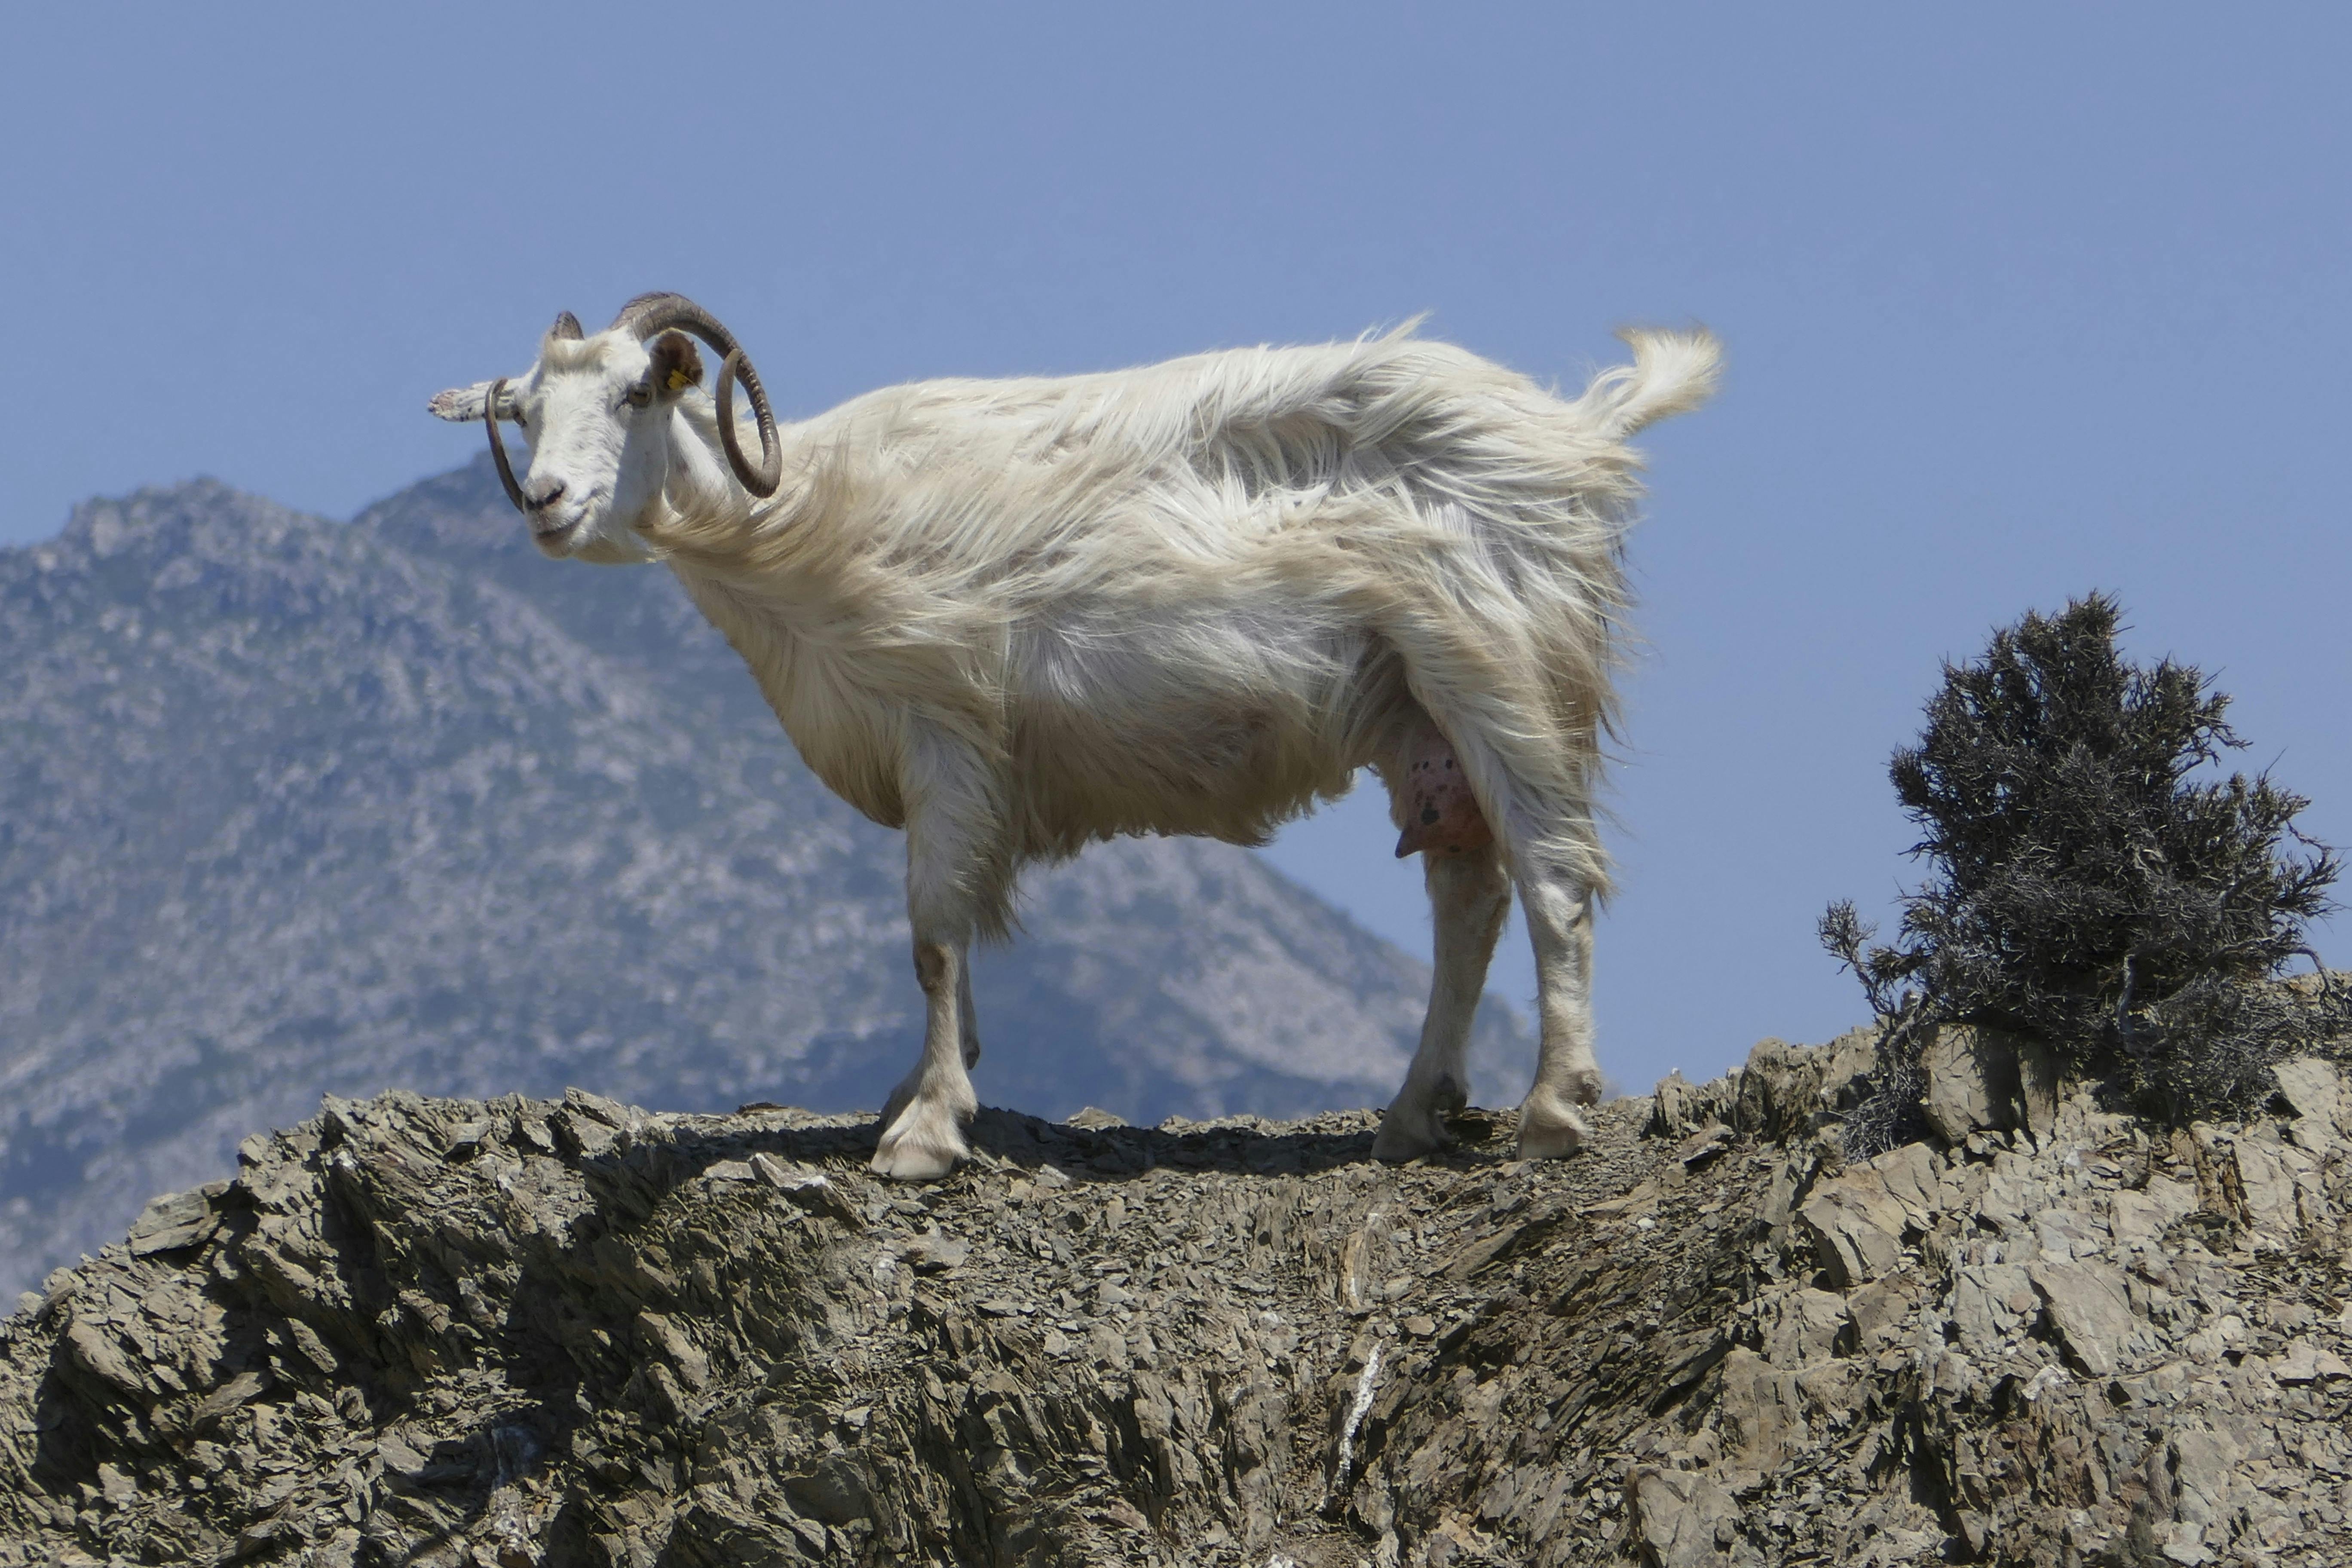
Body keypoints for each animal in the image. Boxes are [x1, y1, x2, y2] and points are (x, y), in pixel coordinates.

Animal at [428, 294, 1712, 1175]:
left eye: (638, 394)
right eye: (524, 413)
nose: (546, 504)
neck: (794, 521)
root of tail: (1578, 433)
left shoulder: (947, 725)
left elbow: (933, 935)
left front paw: (924, 1135)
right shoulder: (958, 767)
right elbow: (950, 943)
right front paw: (925, 1088)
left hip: (1498, 664)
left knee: (1551, 879)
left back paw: (1552, 1111)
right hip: (1414, 708)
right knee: (1468, 891)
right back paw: (1413, 1113)